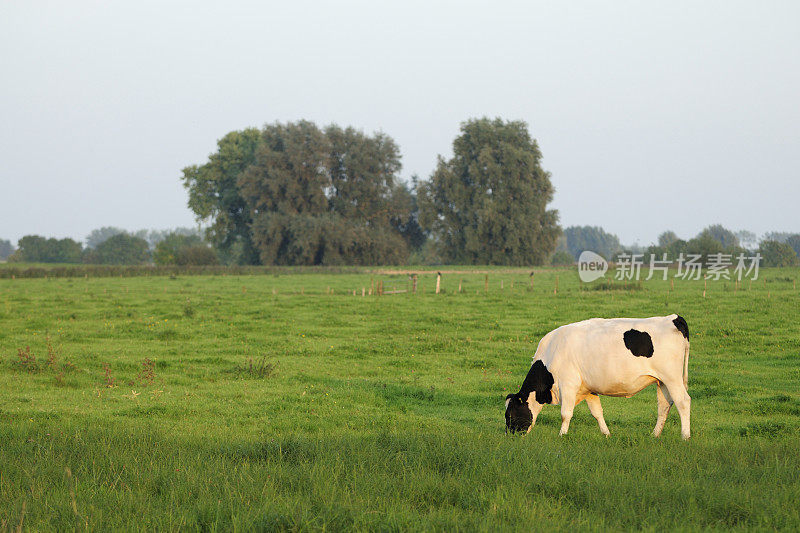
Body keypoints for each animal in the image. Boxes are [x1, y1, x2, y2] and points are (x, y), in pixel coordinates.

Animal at [504, 314, 692, 438]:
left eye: (510, 415)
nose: (510, 435)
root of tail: (673, 318)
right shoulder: (588, 389)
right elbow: (597, 412)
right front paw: (606, 434)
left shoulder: (568, 384)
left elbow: (566, 413)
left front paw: (562, 435)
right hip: (662, 381)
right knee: (664, 405)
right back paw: (655, 434)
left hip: (672, 378)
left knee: (683, 401)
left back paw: (685, 436)